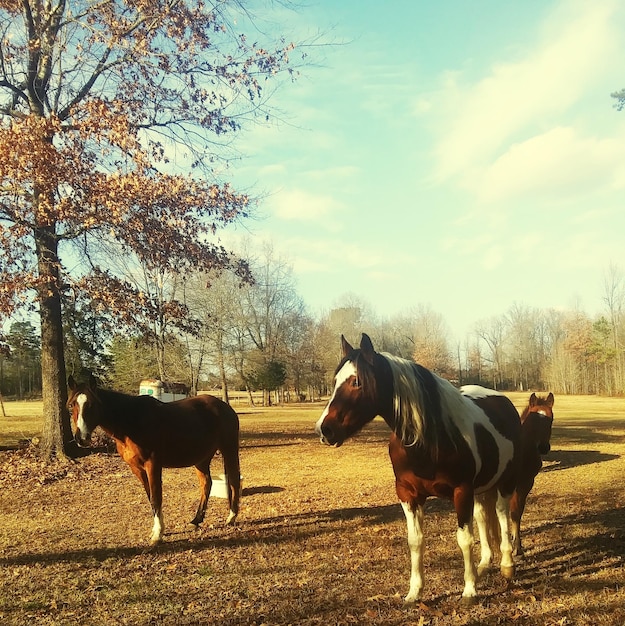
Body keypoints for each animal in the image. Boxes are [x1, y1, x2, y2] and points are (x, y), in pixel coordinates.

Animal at [67, 372, 240, 544]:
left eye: (92, 404)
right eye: (71, 405)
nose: (81, 438)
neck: (131, 422)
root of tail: (225, 407)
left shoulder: (153, 464)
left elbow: (156, 497)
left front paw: (157, 534)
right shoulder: (137, 468)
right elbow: (150, 497)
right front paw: (157, 530)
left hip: (229, 449)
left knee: (234, 480)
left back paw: (231, 517)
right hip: (201, 459)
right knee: (206, 483)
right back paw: (196, 520)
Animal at [314, 334, 520, 604]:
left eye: (357, 381)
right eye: (335, 381)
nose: (324, 429)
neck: (431, 438)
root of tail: (502, 400)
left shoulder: (461, 491)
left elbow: (464, 539)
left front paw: (469, 590)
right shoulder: (408, 494)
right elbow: (416, 541)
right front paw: (415, 592)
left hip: (505, 482)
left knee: (502, 514)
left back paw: (506, 564)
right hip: (481, 488)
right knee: (484, 517)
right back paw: (484, 565)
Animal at [510, 390, 552, 556]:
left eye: (551, 419)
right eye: (532, 420)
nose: (543, 447)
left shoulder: (526, 482)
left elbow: (517, 511)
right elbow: (514, 512)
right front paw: (516, 548)